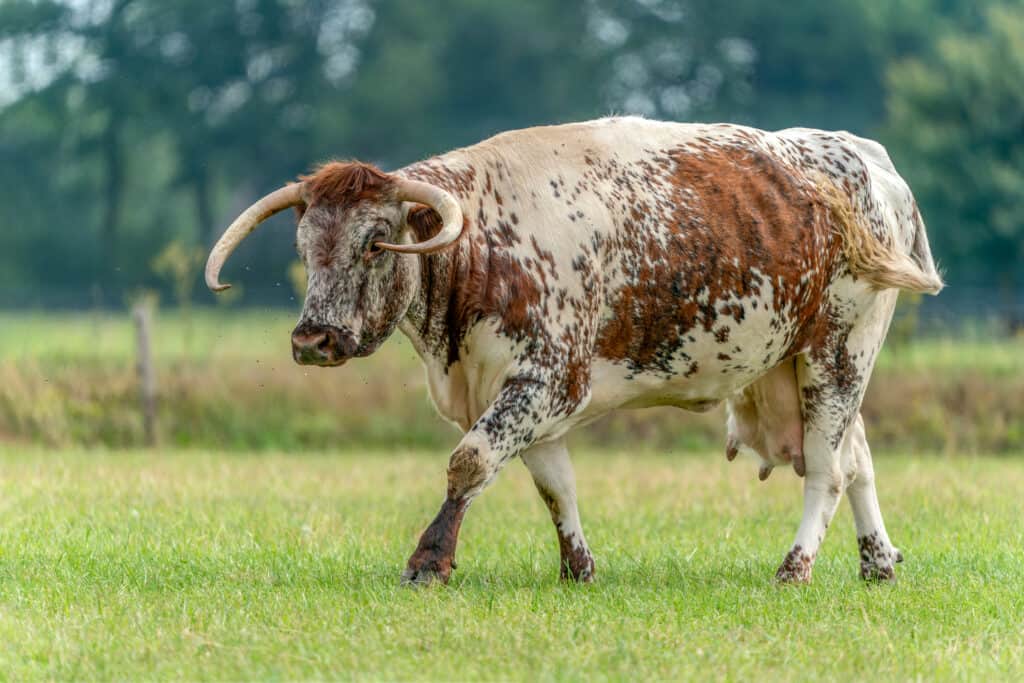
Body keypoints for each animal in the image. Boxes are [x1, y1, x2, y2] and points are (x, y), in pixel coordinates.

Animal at [203, 114, 937, 585]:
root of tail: (867, 158)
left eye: (375, 243)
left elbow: (469, 462)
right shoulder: (524, 395)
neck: (483, 244)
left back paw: (796, 567)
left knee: (828, 469)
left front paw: (429, 561)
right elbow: (554, 485)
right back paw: (877, 561)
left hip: (839, 352)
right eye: (305, 248)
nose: (313, 339)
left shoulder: (544, 382)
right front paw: (577, 567)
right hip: (795, 365)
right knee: (857, 458)